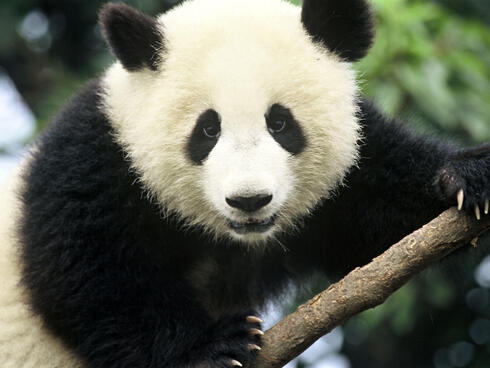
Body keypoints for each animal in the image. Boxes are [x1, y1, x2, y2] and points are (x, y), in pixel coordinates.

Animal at [0, 0, 490, 366]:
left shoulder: (349, 175)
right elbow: (86, 275)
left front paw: (466, 178)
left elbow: (381, 213)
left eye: (280, 123)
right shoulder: (95, 161)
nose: (249, 200)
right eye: (207, 130)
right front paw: (212, 348)